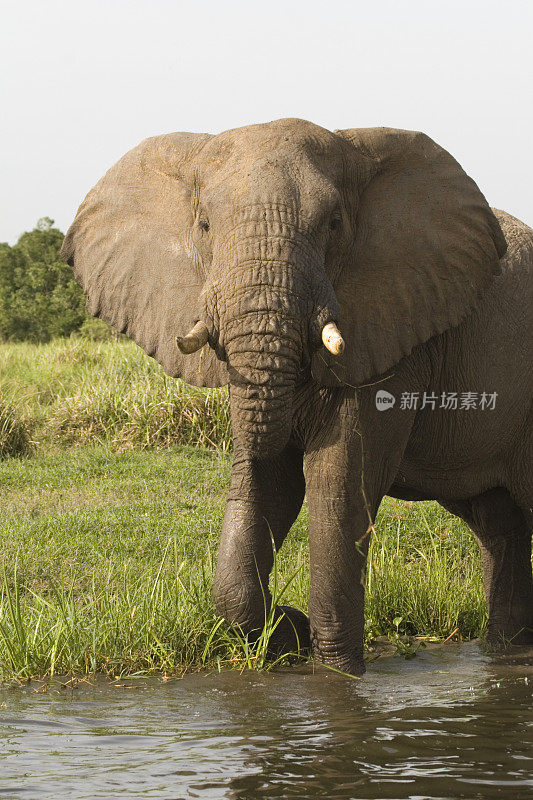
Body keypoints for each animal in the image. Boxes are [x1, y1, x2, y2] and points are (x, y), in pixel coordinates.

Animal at [59, 119, 532, 676]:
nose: (290, 619)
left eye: (333, 224)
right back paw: (507, 654)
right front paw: (287, 634)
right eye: (204, 226)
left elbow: (337, 485)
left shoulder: (394, 332)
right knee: (499, 525)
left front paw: (334, 674)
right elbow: (269, 479)